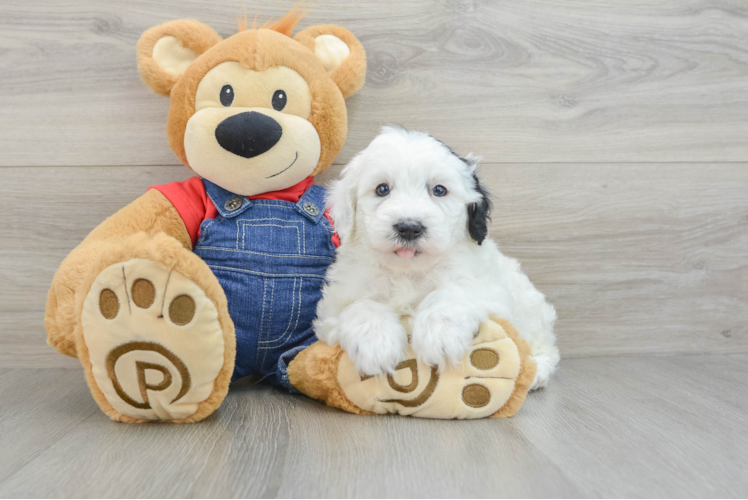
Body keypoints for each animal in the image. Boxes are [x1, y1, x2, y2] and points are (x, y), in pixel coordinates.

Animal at [312, 127, 560, 388]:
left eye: (439, 190)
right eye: (382, 189)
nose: (409, 228)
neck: (407, 271)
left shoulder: (492, 294)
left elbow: (453, 290)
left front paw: (440, 333)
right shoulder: (332, 310)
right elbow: (360, 306)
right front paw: (375, 343)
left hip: (532, 311)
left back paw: (536, 372)